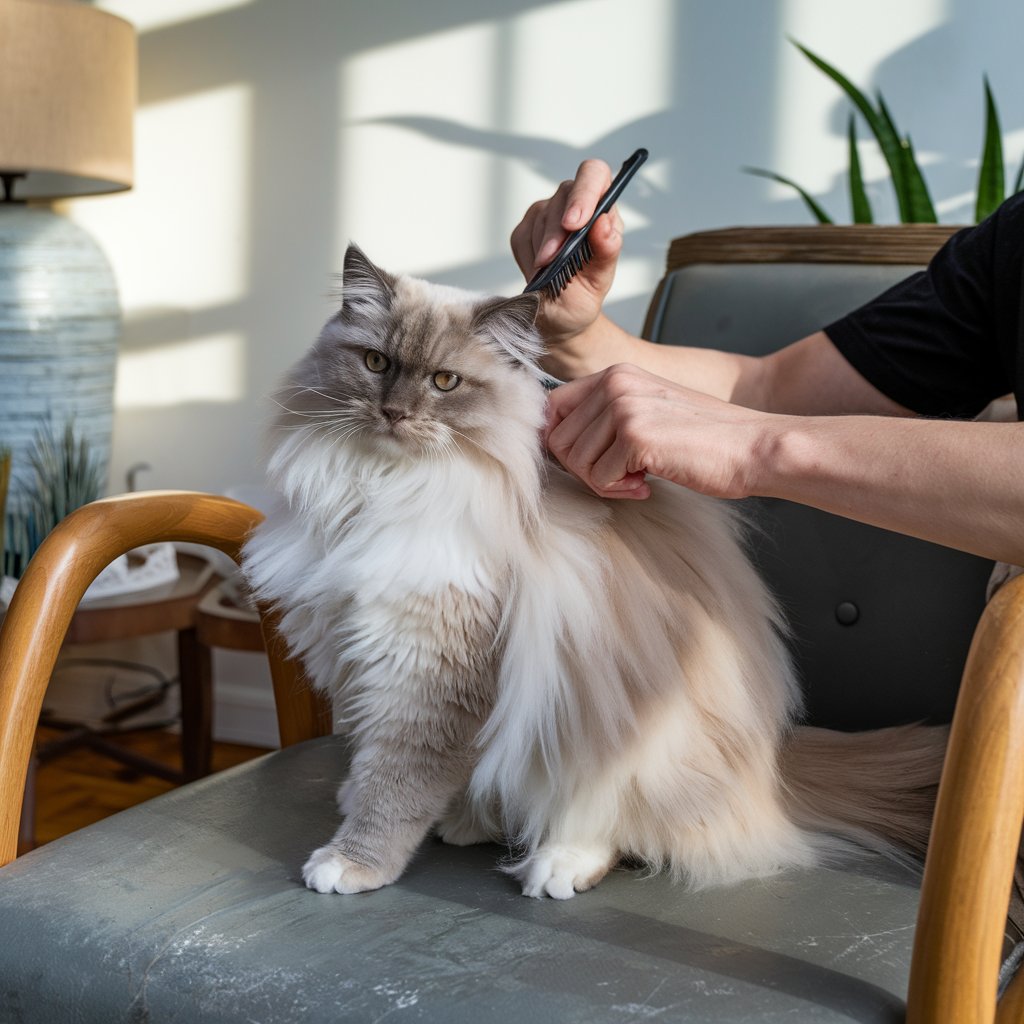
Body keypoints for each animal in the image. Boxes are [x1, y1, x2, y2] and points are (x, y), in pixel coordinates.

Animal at [241, 243, 942, 901]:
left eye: (444, 382)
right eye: (376, 365)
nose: (394, 414)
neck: (382, 488)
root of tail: (774, 775)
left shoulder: (432, 670)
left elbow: (396, 784)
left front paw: (352, 862)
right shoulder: (356, 646)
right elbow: (370, 756)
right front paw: (358, 804)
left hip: (632, 741)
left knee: (623, 826)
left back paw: (556, 864)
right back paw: (471, 823)